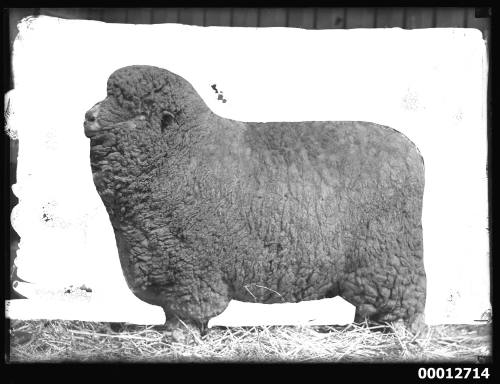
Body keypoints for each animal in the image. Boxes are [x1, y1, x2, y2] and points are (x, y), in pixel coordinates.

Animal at [83, 65, 426, 332]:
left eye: (130, 104)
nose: (88, 117)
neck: (184, 150)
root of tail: (413, 150)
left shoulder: (188, 266)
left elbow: (185, 314)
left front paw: (178, 335)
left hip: (390, 256)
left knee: (406, 301)